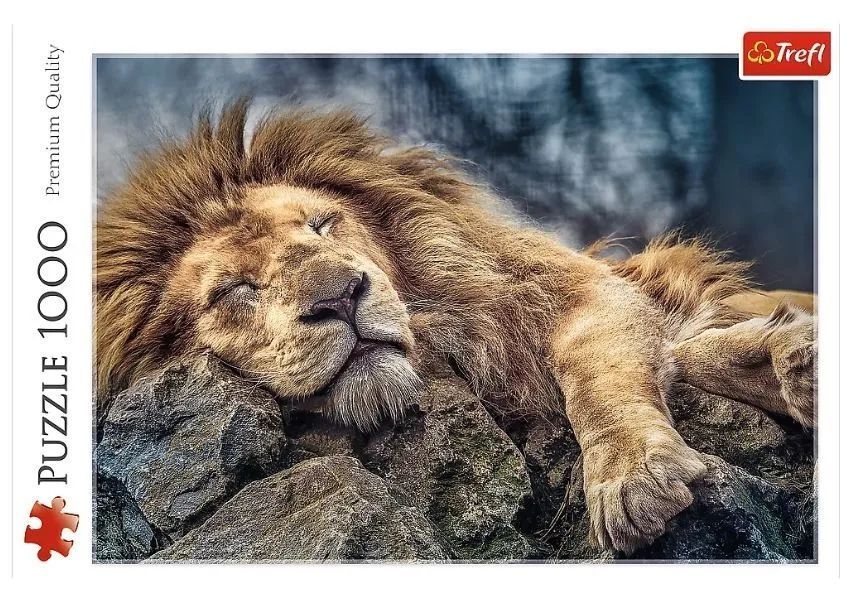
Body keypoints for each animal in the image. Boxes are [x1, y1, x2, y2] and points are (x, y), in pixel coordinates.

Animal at [95, 100, 816, 555]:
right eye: (235, 290)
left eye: (322, 225)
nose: (343, 296)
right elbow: (686, 351)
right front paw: (782, 359)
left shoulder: (581, 290)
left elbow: (597, 375)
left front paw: (633, 475)